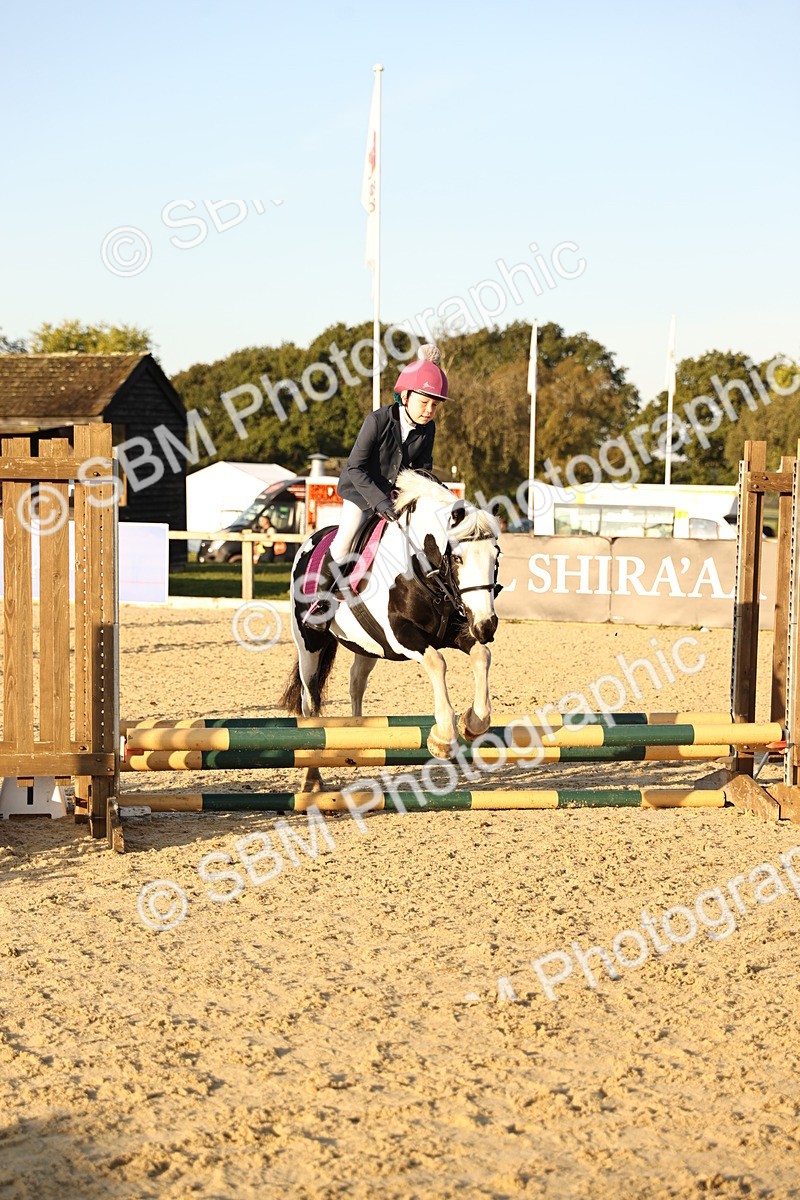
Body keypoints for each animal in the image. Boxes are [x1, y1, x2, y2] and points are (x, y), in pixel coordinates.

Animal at [279, 470, 501, 788]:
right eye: (458, 558)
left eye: (496, 556)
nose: (487, 626)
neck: (419, 569)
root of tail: (310, 541)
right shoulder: (402, 636)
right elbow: (437, 661)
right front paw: (443, 737)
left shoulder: (456, 632)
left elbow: (482, 655)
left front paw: (474, 722)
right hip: (309, 644)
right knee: (311, 701)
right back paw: (313, 778)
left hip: (367, 645)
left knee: (356, 681)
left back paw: (358, 737)